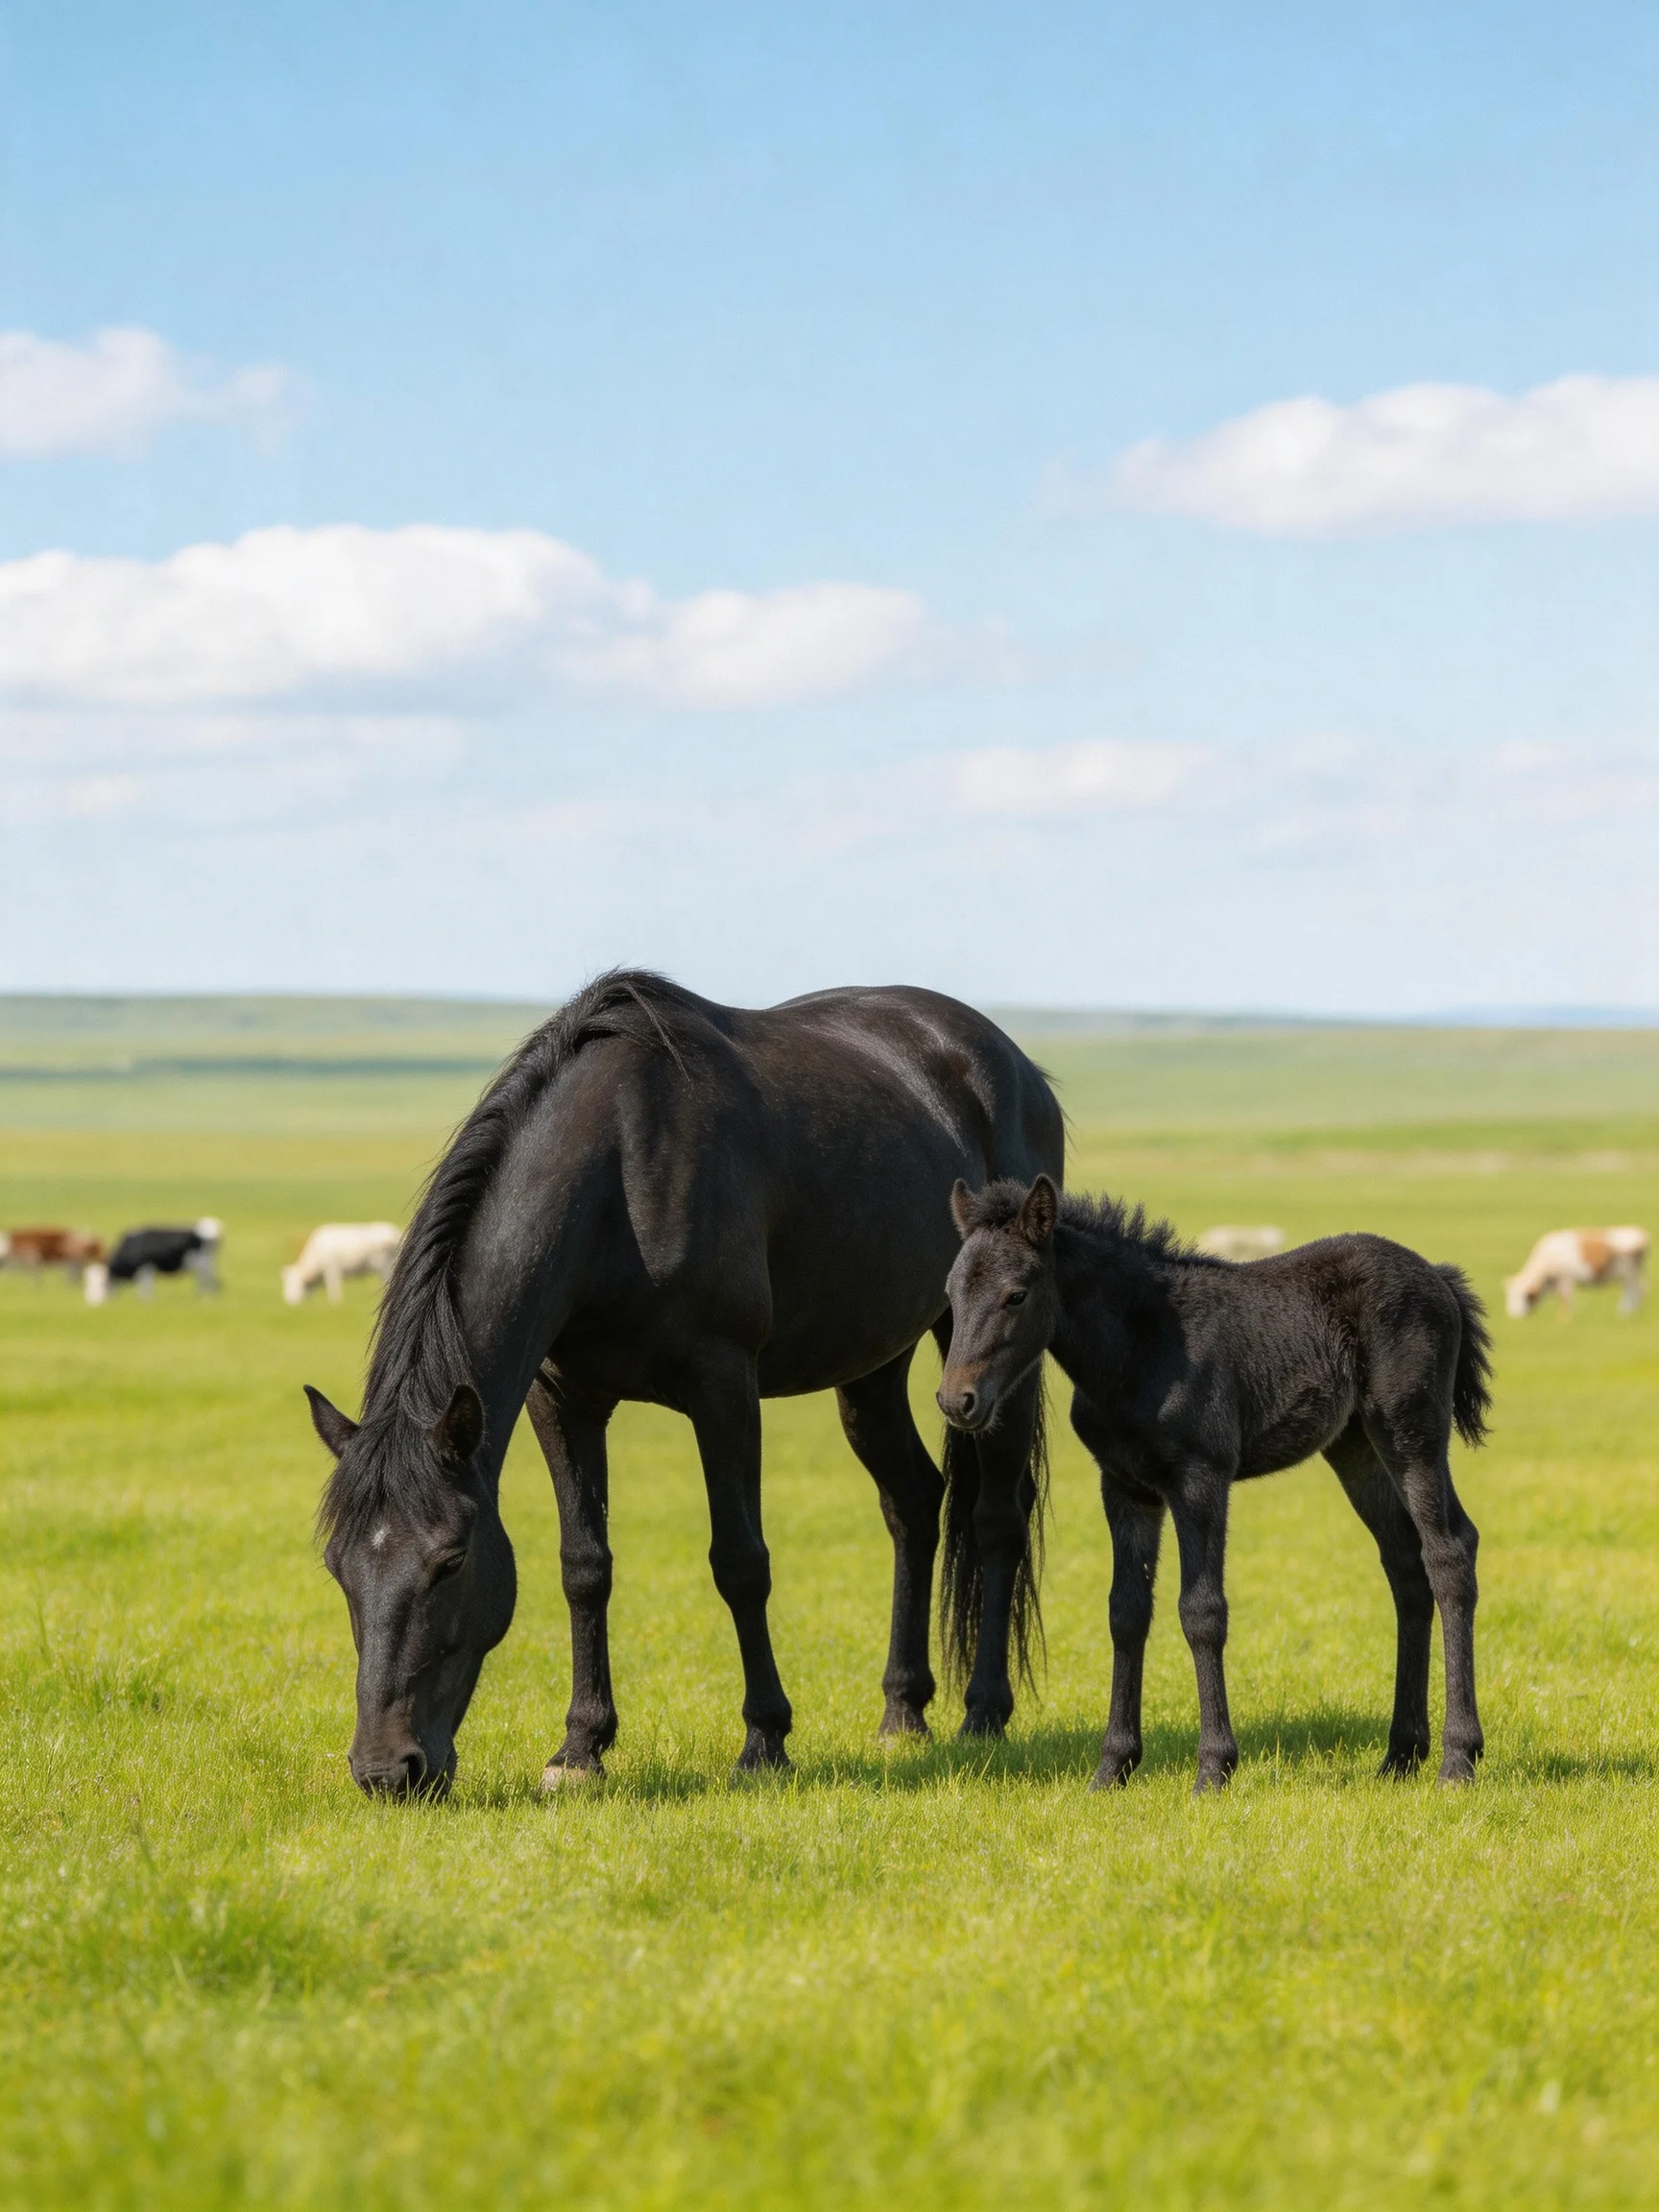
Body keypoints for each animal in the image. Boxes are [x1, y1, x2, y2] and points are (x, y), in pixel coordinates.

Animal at [305, 972, 1063, 1799]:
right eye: (338, 1566)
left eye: (450, 1561)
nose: (386, 1771)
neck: (620, 1178)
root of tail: (1010, 1061)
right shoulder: (562, 1400)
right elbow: (584, 1566)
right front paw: (580, 1747)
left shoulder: (722, 1385)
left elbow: (740, 1561)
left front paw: (765, 1739)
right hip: (871, 1366)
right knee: (914, 1503)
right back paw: (903, 1711)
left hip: (988, 1354)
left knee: (996, 1516)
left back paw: (983, 1711)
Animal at [938, 1177, 1493, 1793]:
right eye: (950, 1293)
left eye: (1016, 1295)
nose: (957, 1401)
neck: (1138, 1347)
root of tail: (1438, 1278)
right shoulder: (1125, 1487)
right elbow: (1126, 1612)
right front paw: (1113, 1766)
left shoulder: (1200, 1478)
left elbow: (1201, 1611)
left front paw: (1214, 1767)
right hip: (1355, 1449)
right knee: (1404, 1564)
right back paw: (1401, 1755)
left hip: (1409, 1432)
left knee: (1449, 1552)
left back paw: (1457, 1758)